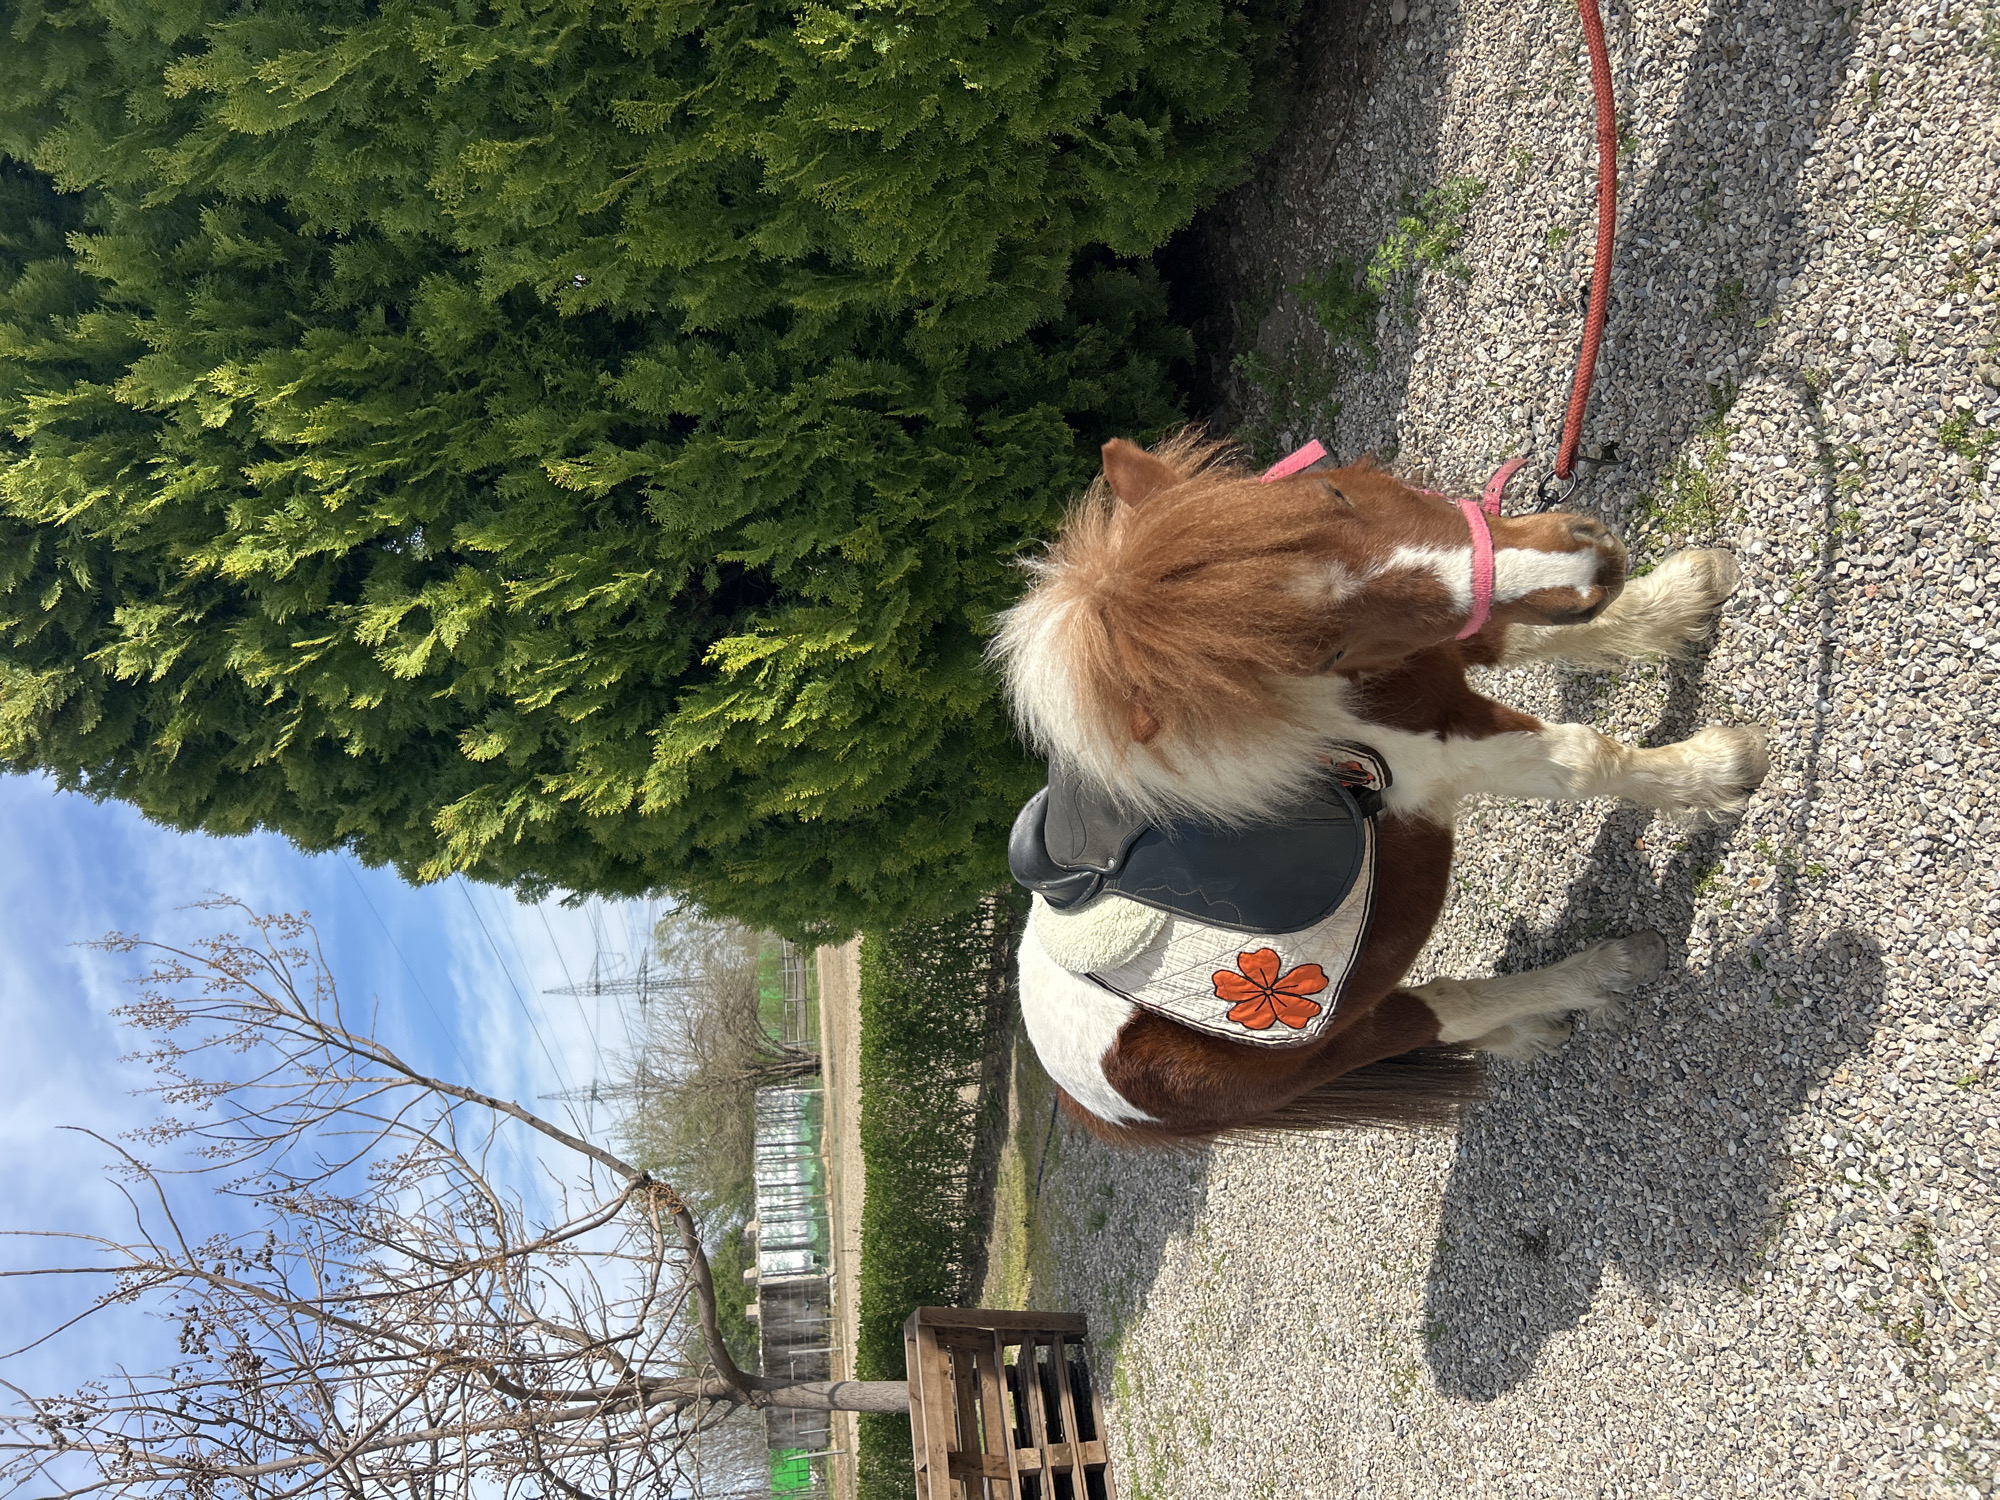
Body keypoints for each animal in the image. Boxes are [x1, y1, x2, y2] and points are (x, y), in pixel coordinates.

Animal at [990, 431, 1767, 1143]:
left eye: (1331, 494)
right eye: (1323, 648)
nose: (1589, 564)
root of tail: (1082, 1096)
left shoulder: (1441, 657)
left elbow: (1546, 636)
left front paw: (1688, 593)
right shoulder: (1446, 756)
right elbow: (1587, 758)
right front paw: (1724, 769)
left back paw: (1531, 1032)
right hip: (1347, 1040)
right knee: (1449, 1006)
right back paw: (1606, 971)